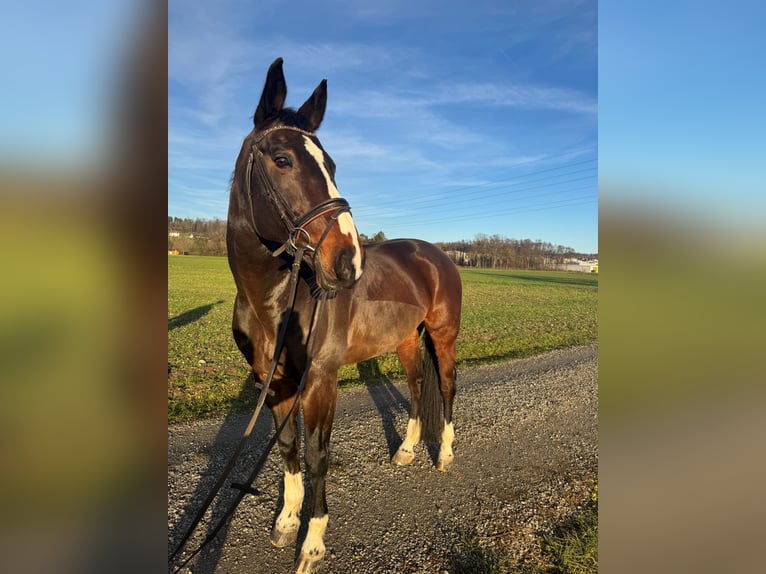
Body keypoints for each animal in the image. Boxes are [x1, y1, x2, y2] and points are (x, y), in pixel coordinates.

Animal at [226, 59, 462, 574]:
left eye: (331, 165)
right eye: (282, 159)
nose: (349, 260)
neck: (274, 301)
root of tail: (436, 254)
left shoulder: (321, 381)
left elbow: (318, 455)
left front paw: (312, 545)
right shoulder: (274, 381)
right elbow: (289, 449)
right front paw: (286, 523)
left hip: (443, 334)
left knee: (447, 386)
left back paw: (444, 454)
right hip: (406, 340)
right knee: (417, 385)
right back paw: (407, 451)